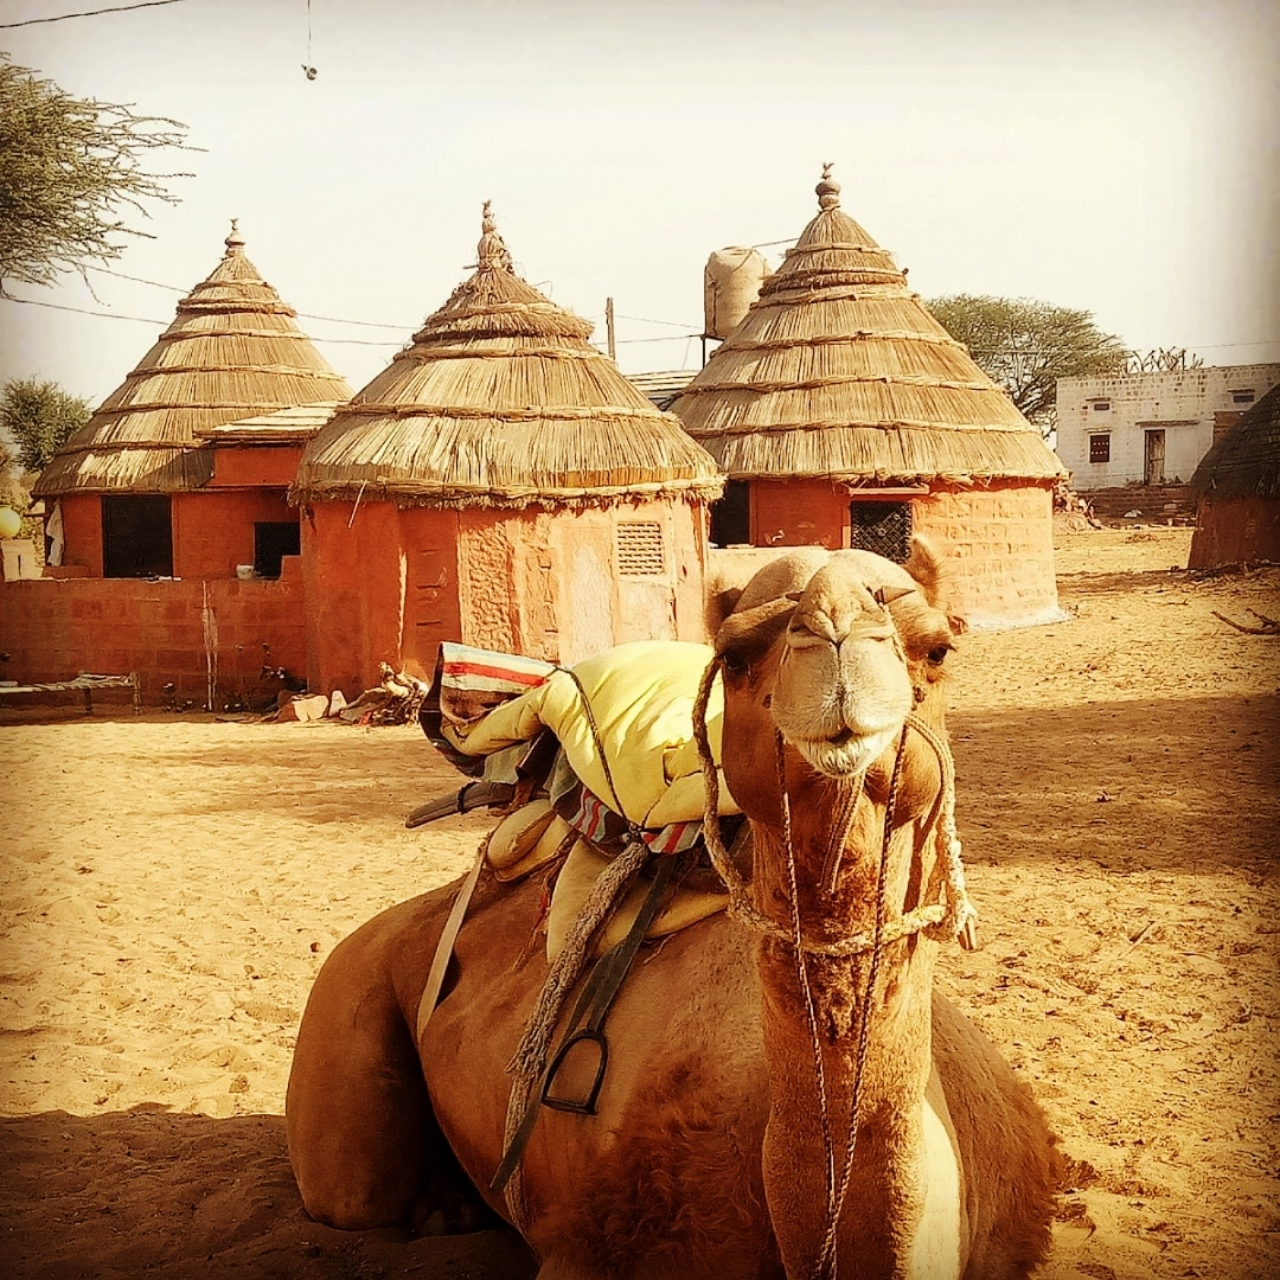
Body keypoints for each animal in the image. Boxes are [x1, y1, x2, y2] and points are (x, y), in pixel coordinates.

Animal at [286, 539, 1060, 1279]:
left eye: (937, 647)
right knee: (354, 1191)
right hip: (350, 985)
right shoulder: (597, 1248)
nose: (837, 639)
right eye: (737, 655)